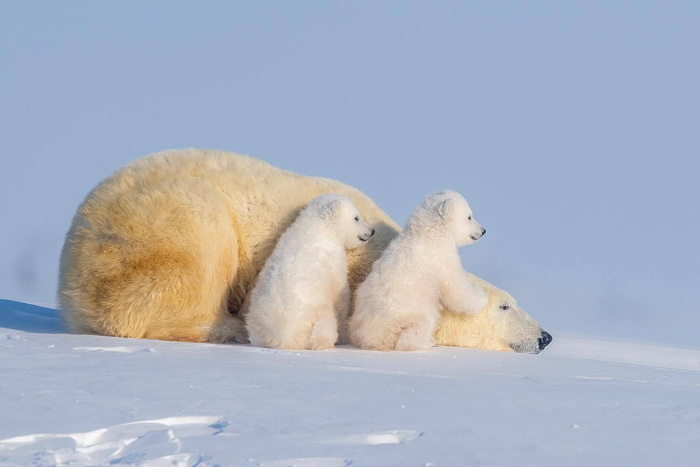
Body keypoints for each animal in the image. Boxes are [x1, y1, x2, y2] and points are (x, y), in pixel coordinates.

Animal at [246, 194, 374, 350]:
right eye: (356, 217)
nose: (372, 231)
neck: (319, 227)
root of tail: (284, 338)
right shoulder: (333, 258)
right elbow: (340, 294)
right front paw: (344, 337)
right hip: (316, 314)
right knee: (323, 330)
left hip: (256, 323)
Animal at [349, 190, 489, 351]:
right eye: (469, 216)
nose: (483, 230)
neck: (429, 232)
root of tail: (373, 338)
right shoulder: (441, 259)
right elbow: (457, 289)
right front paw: (481, 294)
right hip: (409, 313)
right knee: (417, 328)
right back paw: (428, 342)